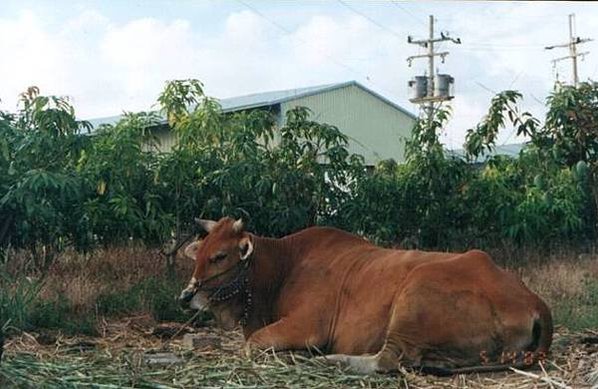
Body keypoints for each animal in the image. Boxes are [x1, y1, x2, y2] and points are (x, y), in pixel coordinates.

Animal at [179, 217, 552, 374]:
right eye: (199, 254)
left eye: (220, 256)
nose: (186, 296)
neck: (283, 265)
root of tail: (533, 299)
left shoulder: (308, 325)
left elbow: (253, 343)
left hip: (414, 296)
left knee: (385, 361)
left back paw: (330, 361)